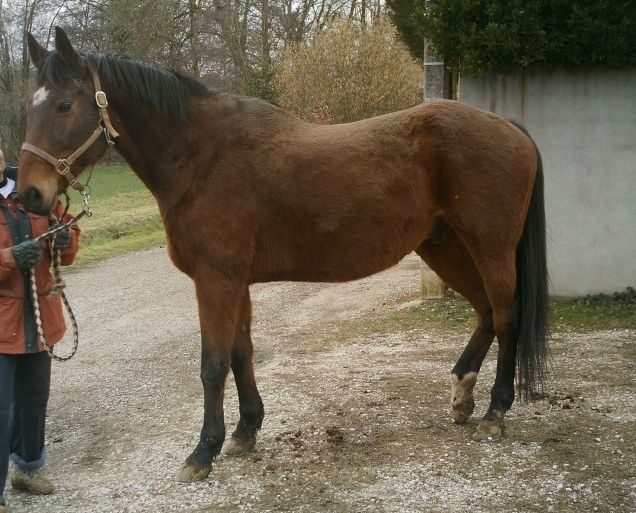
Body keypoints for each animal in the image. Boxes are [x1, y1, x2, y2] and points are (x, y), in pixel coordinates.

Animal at [18, 28, 548, 482]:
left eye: (65, 105)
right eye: (30, 107)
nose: (29, 195)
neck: (202, 157)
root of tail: (511, 128)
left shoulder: (216, 280)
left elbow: (212, 365)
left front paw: (203, 451)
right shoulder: (235, 282)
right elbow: (241, 353)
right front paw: (245, 431)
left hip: (489, 247)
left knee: (507, 316)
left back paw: (496, 411)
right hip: (444, 247)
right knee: (485, 311)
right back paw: (462, 396)